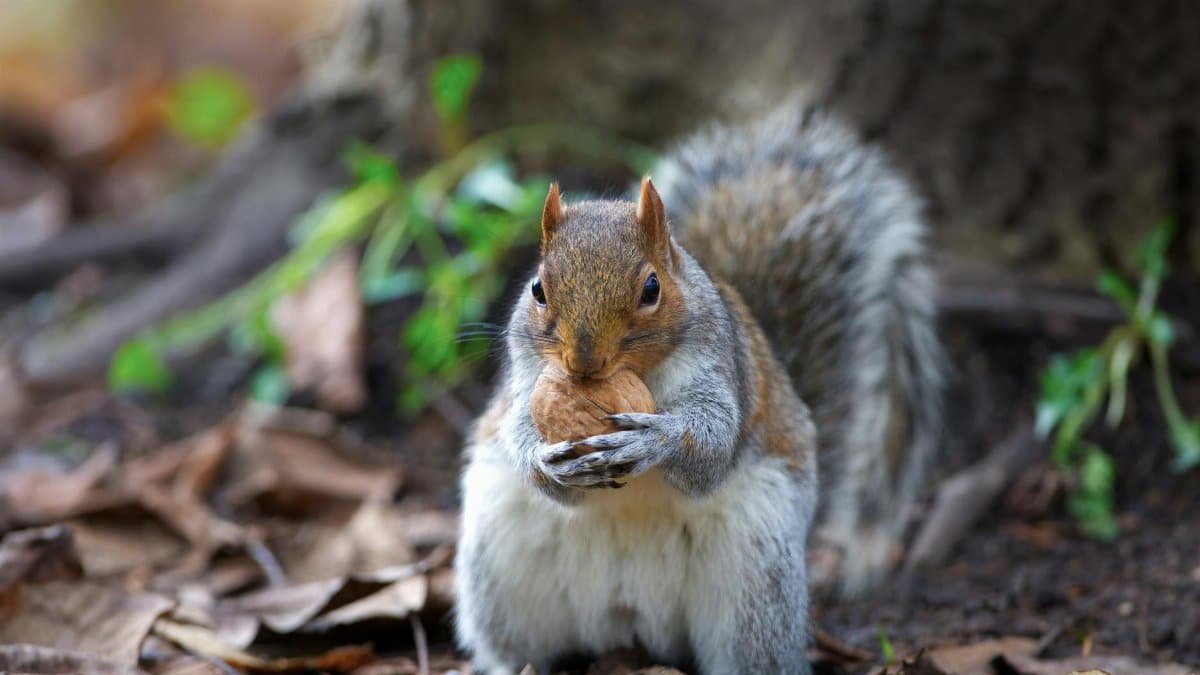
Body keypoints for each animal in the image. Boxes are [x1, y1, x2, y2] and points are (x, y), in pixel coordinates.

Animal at [454, 103, 944, 674]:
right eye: (537, 288)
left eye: (651, 288)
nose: (584, 362)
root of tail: (630, 619)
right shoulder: (526, 378)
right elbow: (518, 431)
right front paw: (543, 458)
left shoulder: (720, 367)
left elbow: (711, 444)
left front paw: (654, 440)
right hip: (501, 569)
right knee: (511, 644)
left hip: (757, 579)